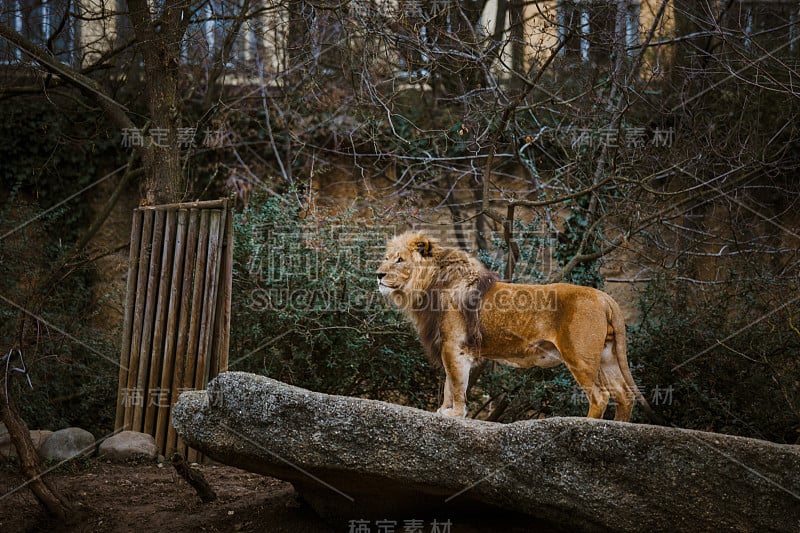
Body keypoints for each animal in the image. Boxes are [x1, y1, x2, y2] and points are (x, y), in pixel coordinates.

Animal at [378, 231, 652, 422]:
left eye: (400, 260)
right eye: (386, 258)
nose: (378, 274)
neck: (429, 285)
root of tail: (606, 298)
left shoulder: (454, 345)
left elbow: (455, 384)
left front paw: (455, 414)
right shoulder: (452, 346)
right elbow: (449, 383)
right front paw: (445, 411)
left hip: (579, 355)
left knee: (600, 395)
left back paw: (588, 424)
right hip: (607, 355)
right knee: (624, 394)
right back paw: (620, 427)